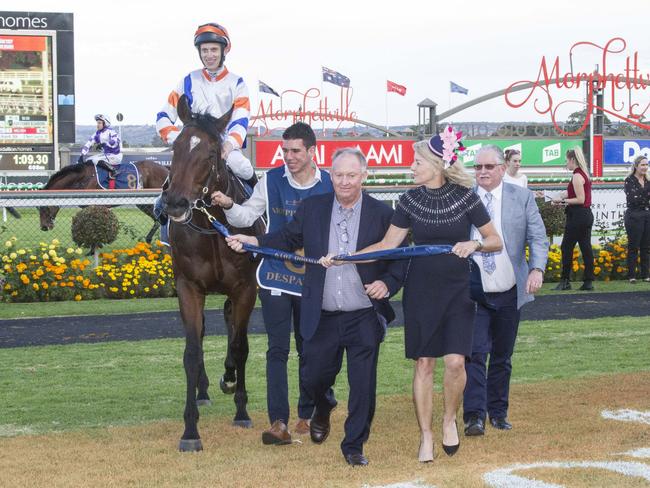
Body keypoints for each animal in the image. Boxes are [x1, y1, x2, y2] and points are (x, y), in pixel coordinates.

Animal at [38, 160, 168, 244]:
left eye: (44, 207)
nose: (44, 227)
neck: (84, 178)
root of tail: (166, 168)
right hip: (143, 203)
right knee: (158, 220)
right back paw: (149, 240)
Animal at [161, 93, 262, 452]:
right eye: (175, 148)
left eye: (210, 153)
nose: (176, 204)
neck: (214, 227)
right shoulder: (189, 287)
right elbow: (192, 351)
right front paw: (190, 430)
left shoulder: (245, 288)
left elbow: (241, 346)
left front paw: (241, 409)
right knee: (204, 332)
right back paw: (204, 390)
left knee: (232, 326)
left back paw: (229, 378)